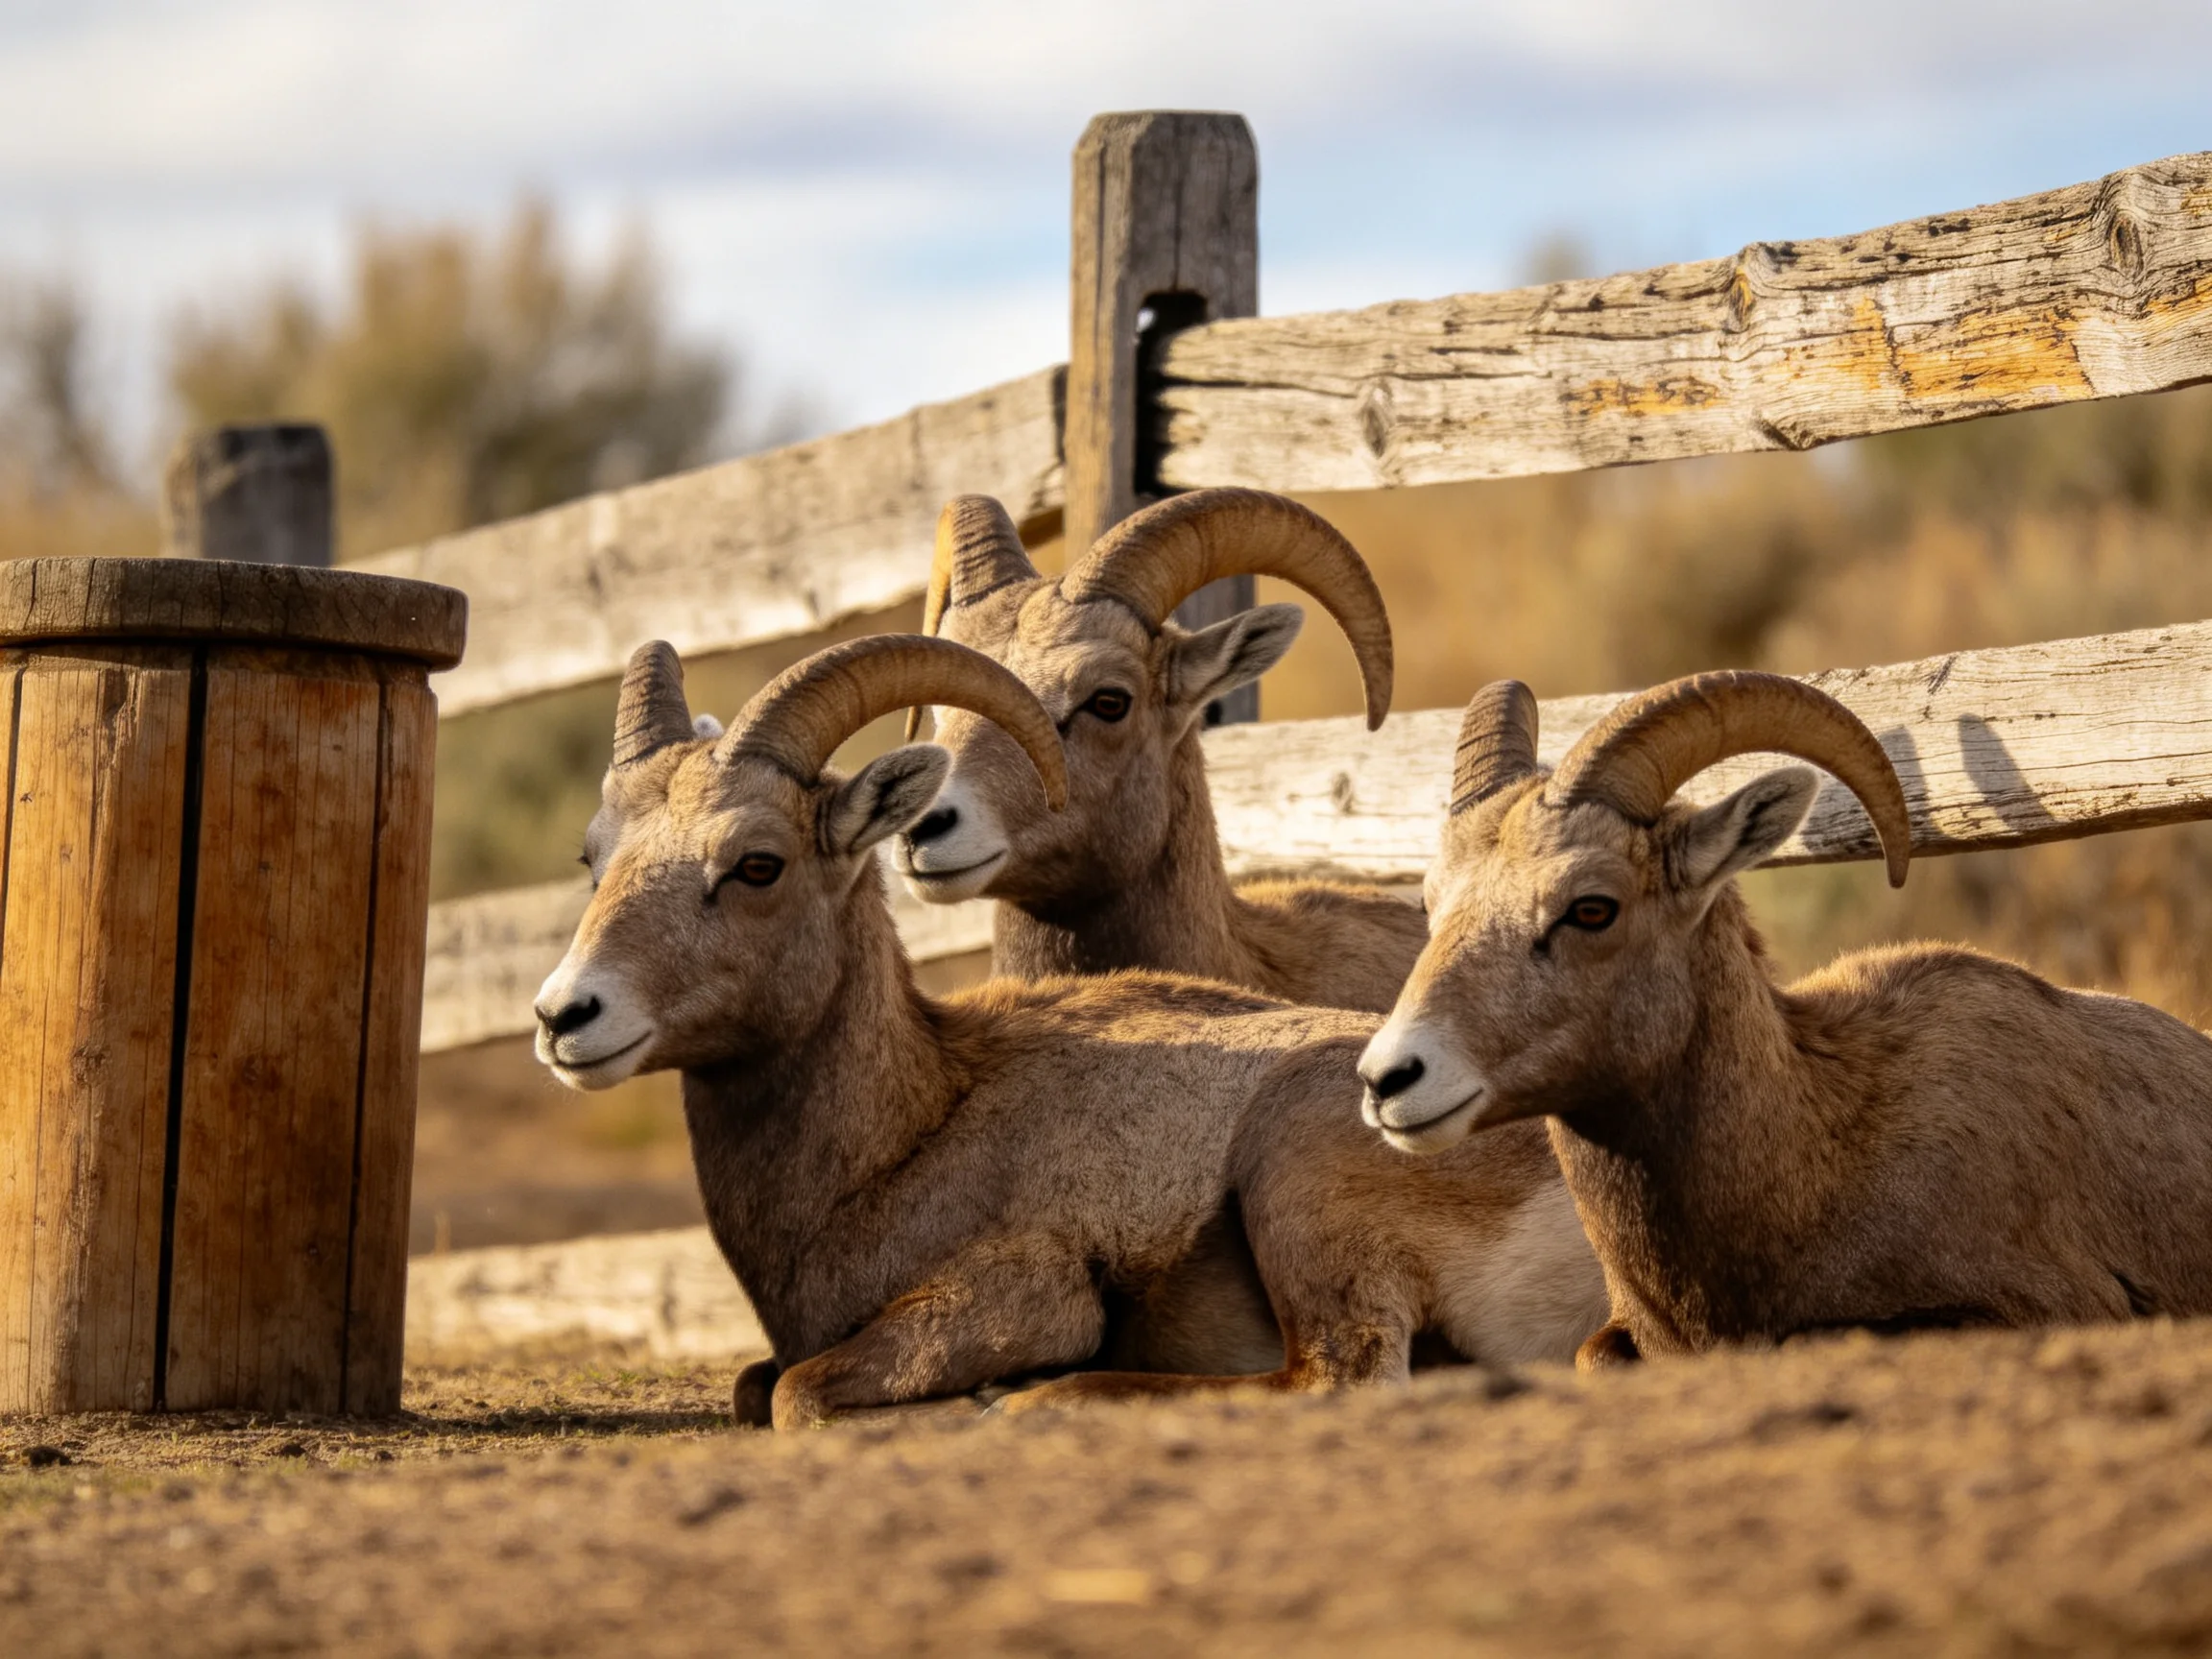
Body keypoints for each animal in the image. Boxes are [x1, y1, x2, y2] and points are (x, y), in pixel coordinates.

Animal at [533, 633, 1606, 1428]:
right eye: (594, 858)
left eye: (757, 864)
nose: (565, 1016)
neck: (908, 1138)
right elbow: (754, 1385)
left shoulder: (1027, 1291)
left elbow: (795, 1393)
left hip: (1295, 1165)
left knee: (1334, 1377)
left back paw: (1028, 1400)